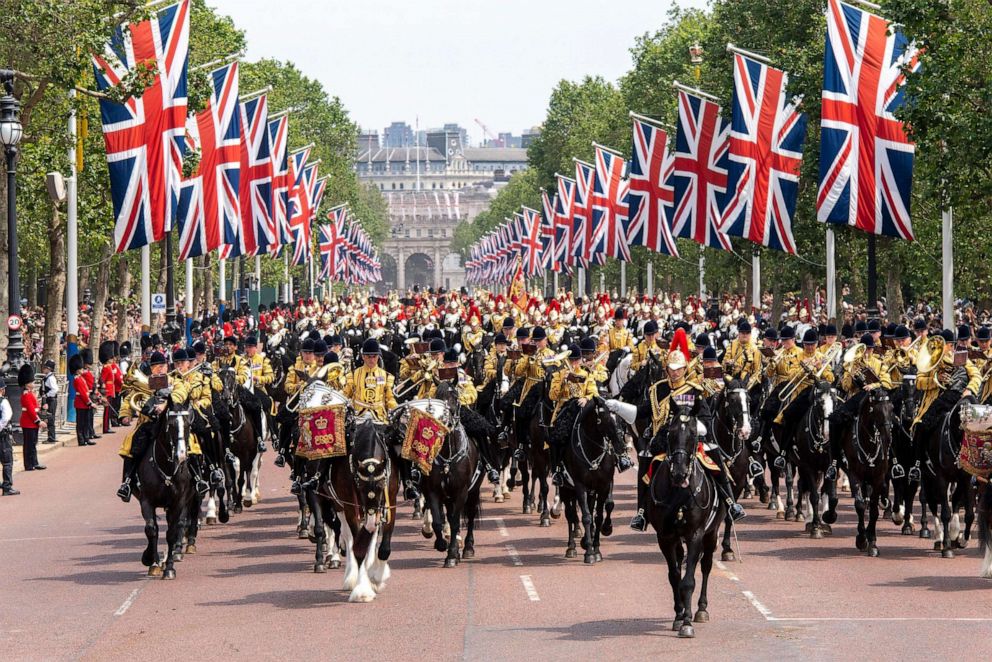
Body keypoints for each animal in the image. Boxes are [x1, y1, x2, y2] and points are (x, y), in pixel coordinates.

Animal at [648, 412, 724, 640]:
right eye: (669, 434)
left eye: (693, 435)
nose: (680, 473)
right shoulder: (664, 537)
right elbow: (674, 577)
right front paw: (679, 615)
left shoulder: (695, 534)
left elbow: (689, 580)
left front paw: (688, 622)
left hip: (711, 534)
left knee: (706, 565)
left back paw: (701, 609)